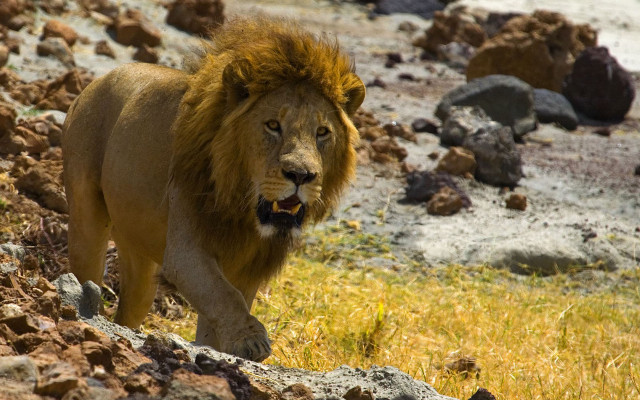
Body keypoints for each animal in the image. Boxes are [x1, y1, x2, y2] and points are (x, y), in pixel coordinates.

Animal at [62, 16, 365, 362]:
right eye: (273, 125)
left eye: (322, 132)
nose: (301, 175)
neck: (245, 211)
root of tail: (98, 79)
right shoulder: (187, 250)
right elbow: (223, 295)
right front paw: (251, 341)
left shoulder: (247, 268)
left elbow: (219, 312)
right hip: (86, 220)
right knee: (86, 273)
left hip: (137, 253)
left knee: (130, 309)